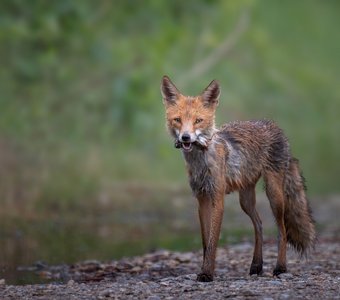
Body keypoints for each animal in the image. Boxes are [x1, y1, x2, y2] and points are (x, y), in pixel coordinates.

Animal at [161, 75, 314, 282]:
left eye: (198, 120)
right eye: (177, 120)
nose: (186, 138)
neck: (201, 161)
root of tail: (273, 125)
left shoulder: (217, 198)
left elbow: (213, 242)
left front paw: (207, 273)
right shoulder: (201, 199)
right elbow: (205, 242)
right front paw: (205, 269)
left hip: (274, 195)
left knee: (281, 230)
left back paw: (280, 268)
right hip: (246, 200)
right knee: (259, 224)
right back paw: (256, 265)